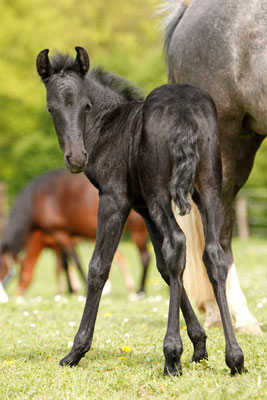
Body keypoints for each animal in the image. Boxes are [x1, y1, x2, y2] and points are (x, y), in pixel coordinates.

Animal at [0, 170, 151, 296]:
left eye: (5, 270)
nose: (17, 293)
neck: (38, 197)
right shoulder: (60, 240)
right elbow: (64, 265)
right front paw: (70, 290)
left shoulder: (60, 234)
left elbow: (75, 262)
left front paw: (80, 288)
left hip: (137, 232)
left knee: (145, 258)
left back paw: (140, 291)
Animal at [36, 47, 246, 376]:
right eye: (51, 109)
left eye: (86, 106)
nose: (77, 158)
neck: (110, 127)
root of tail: (183, 109)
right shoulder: (144, 207)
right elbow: (164, 267)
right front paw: (199, 345)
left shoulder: (115, 199)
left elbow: (98, 267)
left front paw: (76, 351)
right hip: (210, 190)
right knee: (211, 254)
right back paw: (234, 357)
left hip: (161, 194)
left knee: (177, 242)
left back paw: (171, 355)